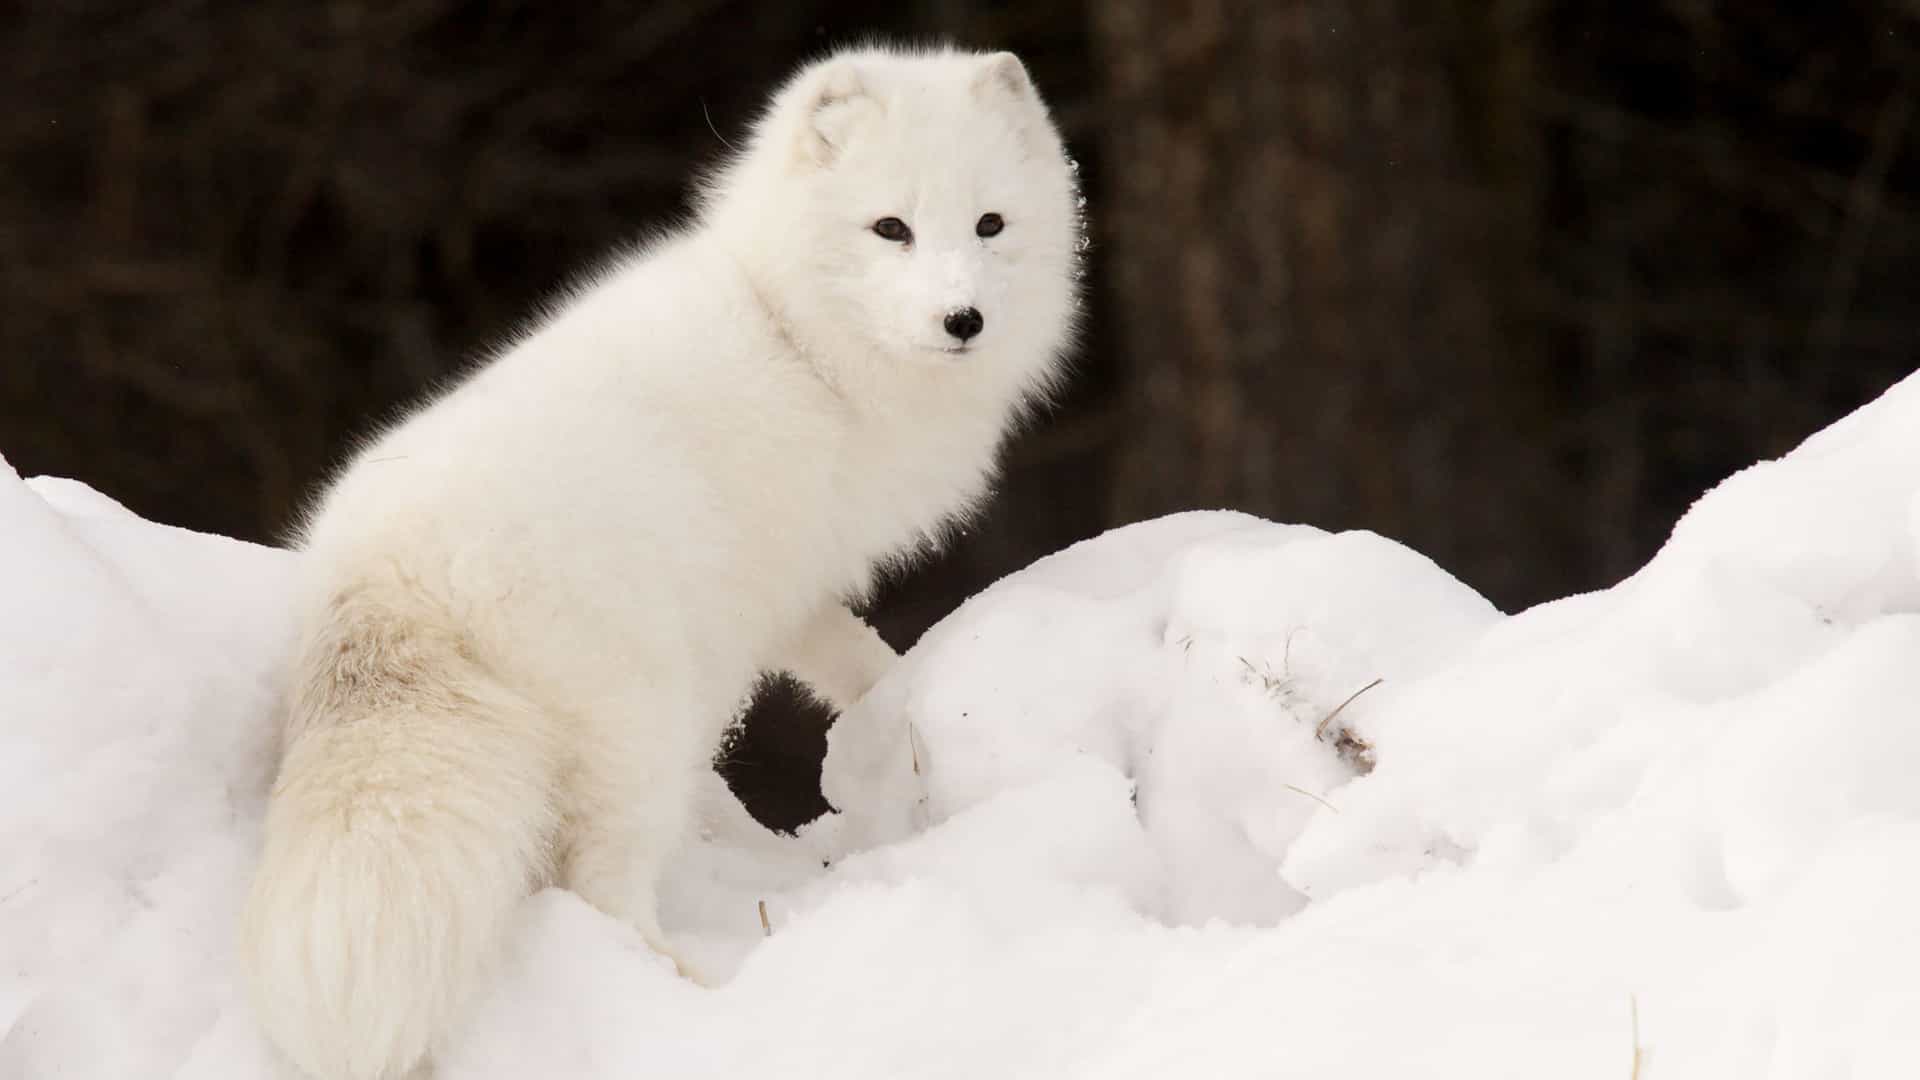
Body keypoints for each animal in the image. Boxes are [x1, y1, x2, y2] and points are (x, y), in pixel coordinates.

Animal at [238, 44, 1082, 1080]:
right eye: (893, 228)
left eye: (990, 225)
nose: (963, 318)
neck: (800, 341)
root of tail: (381, 578)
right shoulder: (784, 575)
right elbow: (861, 658)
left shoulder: (790, 594)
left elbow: (856, 661)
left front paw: (900, 710)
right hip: (642, 729)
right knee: (595, 882)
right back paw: (681, 992)